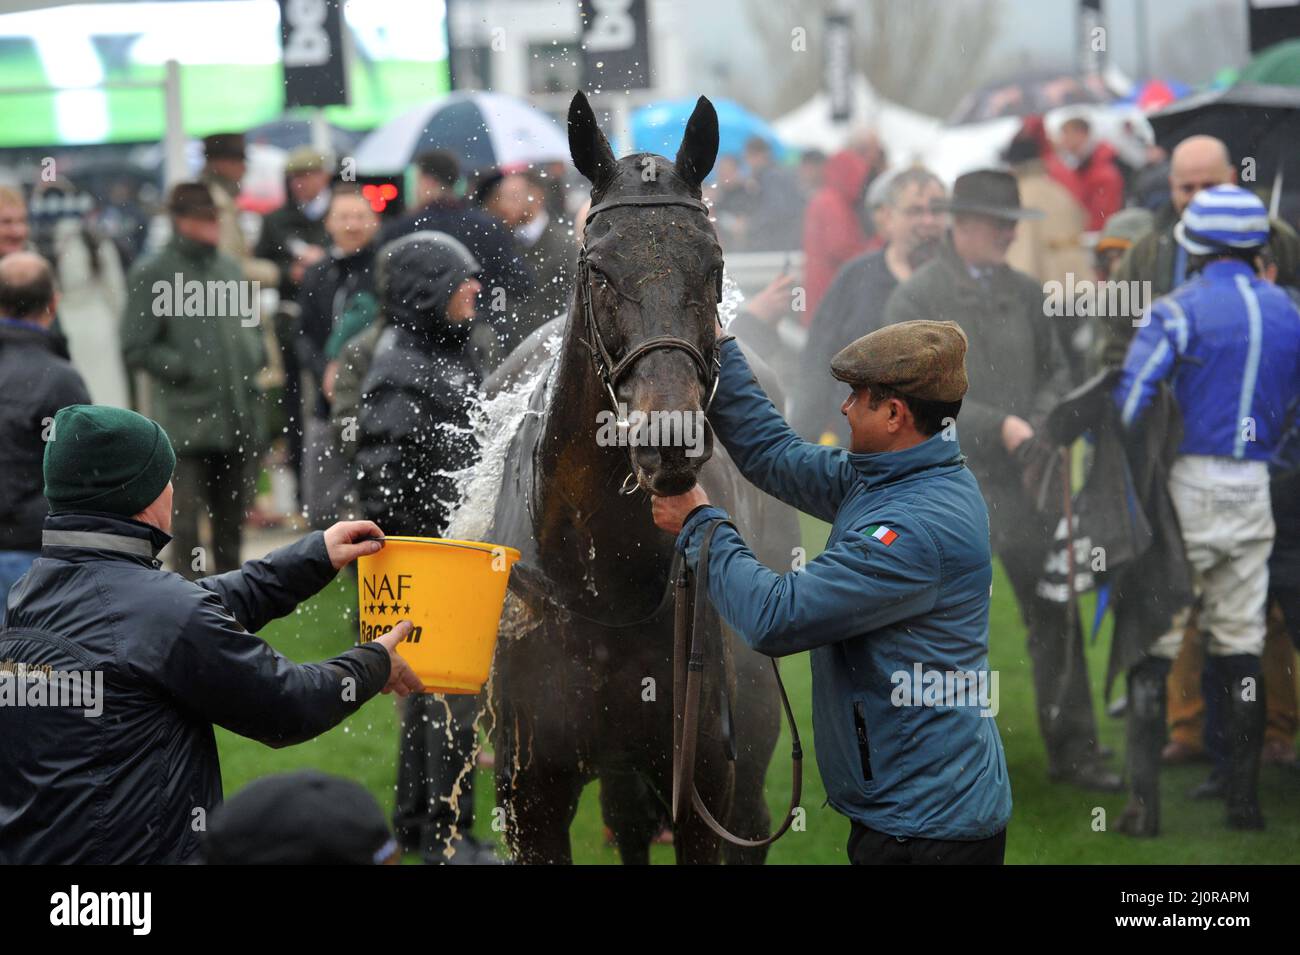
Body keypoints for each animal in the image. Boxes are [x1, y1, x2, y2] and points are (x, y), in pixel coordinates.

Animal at [483, 91, 795, 867]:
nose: (668, 440)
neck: (598, 583)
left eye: (713, 265)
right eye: (597, 269)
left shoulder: (704, 784)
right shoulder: (530, 797)